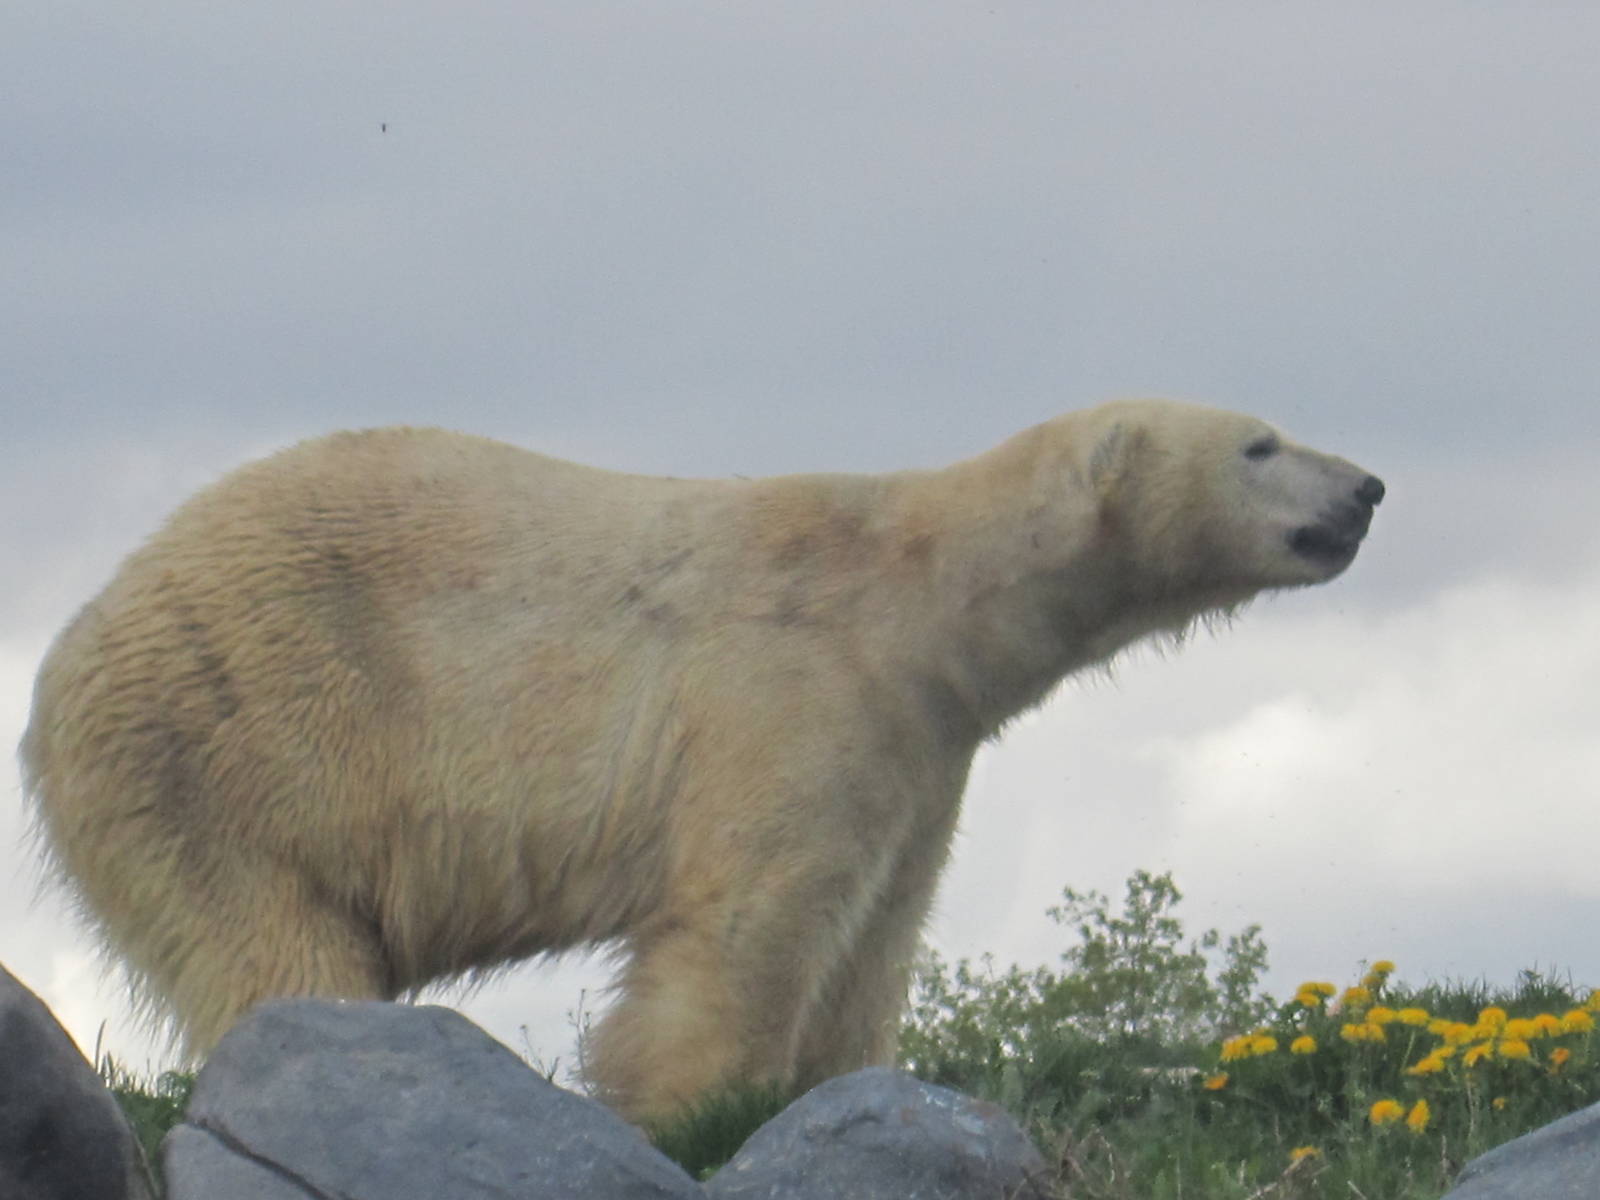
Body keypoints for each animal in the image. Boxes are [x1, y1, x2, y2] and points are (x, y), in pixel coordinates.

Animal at [20, 399, 1383, 1124]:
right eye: (1260, 445)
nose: (1367, 487)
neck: (918, 596)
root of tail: (68, 653)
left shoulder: (920, 749)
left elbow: (875, 935)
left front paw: (842, 1078)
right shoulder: (793, 685)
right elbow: (749, 920)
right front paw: (694, 1109)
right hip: (232, 743)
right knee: (274, 944)